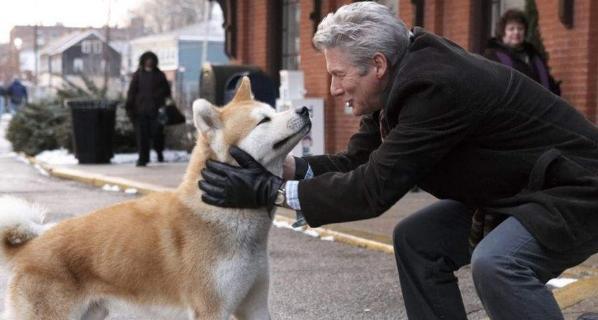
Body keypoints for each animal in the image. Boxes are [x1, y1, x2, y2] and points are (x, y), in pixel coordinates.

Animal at [0, 76, 312, 318]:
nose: (306, 109)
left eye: (273, 110)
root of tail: (30, 246)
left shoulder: (254, 306)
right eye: (263, 121)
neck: (222, 210)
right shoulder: (211, 309)